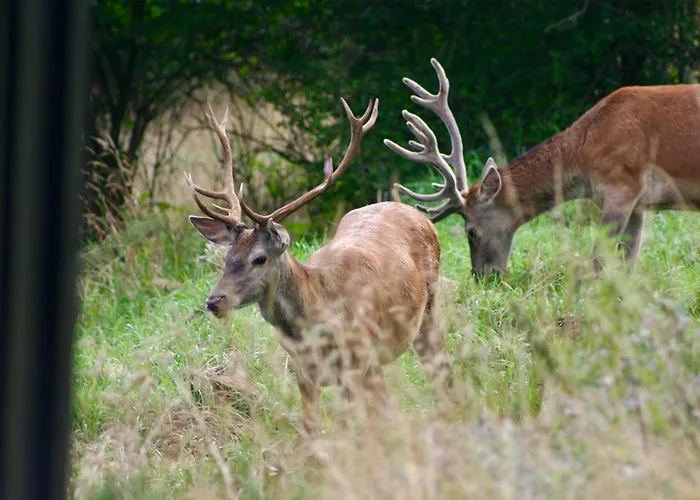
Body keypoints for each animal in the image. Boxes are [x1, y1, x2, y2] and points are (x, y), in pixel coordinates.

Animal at [186, 97, 452, 434]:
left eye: (259, 258)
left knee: (439, 368)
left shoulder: (363, 359)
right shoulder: (304, 373)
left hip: (428, 309)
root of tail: (418, 214)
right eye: (226, 257)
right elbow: (313, 428)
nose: (213, 301)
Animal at [385, 58, 700, 279]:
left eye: (470, 231)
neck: (584, 151)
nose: (481, 277)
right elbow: (627, 267)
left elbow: (598, 262)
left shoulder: (621, 186)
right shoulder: (638, 205)